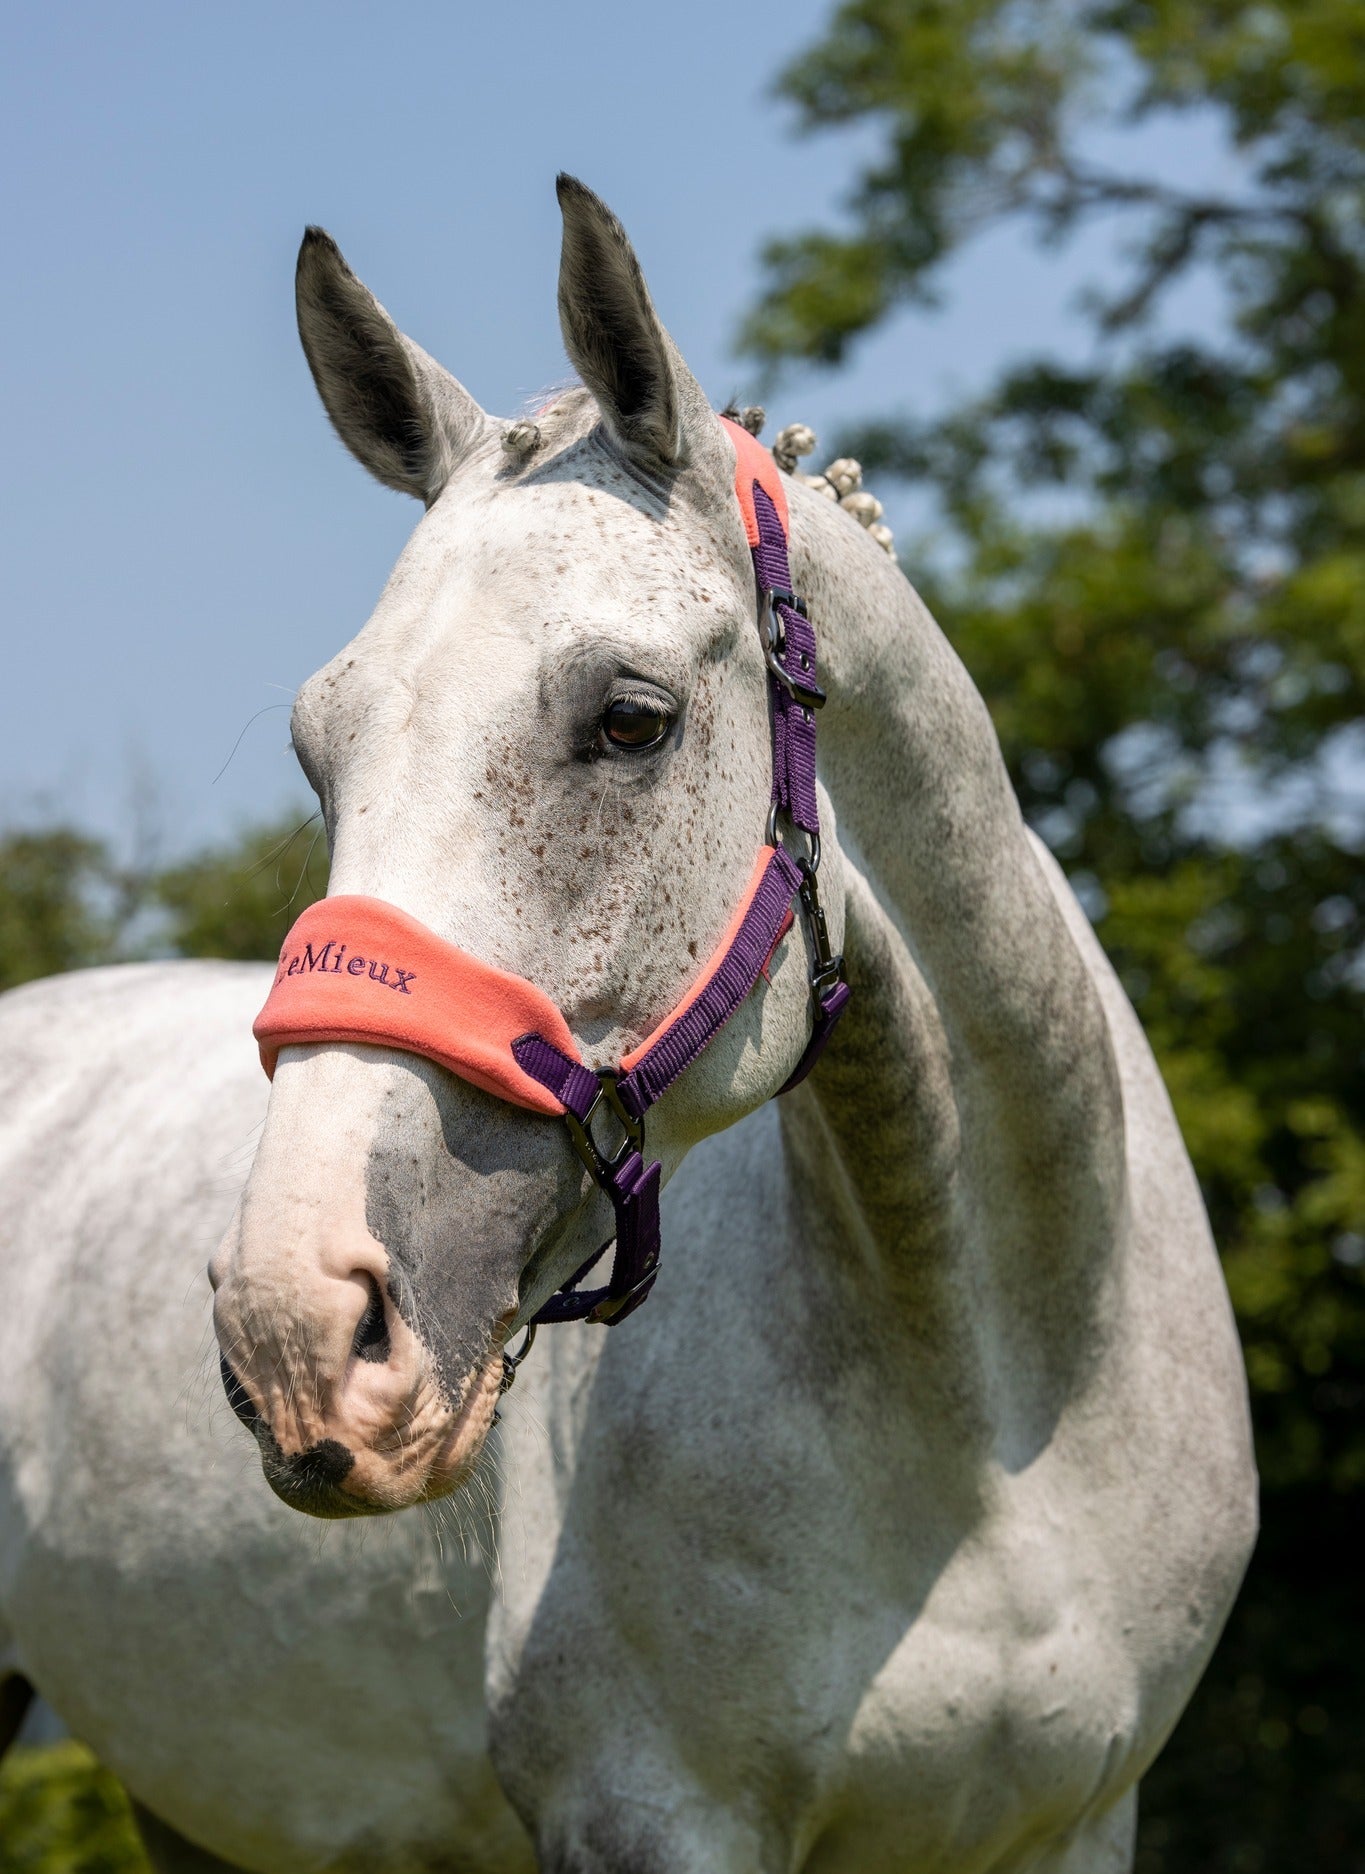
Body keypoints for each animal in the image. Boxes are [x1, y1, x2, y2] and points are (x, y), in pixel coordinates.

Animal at [0, 178, 1260, 1874]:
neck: (993, 1410)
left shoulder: (1073, 1822)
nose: (295, 1326)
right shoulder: (657, 1815)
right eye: (320, 749)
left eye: (629, 718)